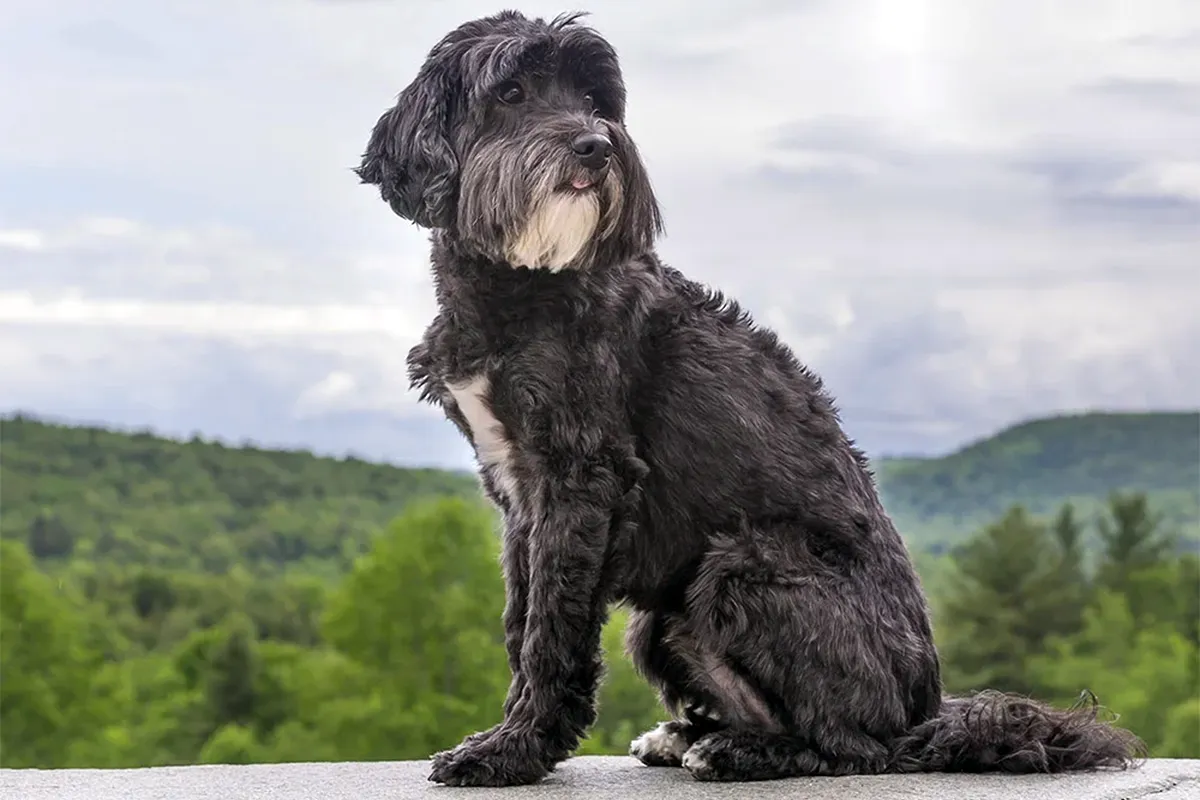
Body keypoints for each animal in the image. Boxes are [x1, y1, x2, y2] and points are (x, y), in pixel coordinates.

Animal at [352, 10, 1142, 786]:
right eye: (511, 92)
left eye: (592, 100)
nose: (596, 147)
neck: (525, 281)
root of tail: (925, 708)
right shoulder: (519, 491)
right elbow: (523, 621)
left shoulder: (581, 478)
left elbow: (553, 629)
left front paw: (511, 751)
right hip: (663, 617)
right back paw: (692, 734)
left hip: (743, 565)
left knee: (853, 745)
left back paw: (741, 752)